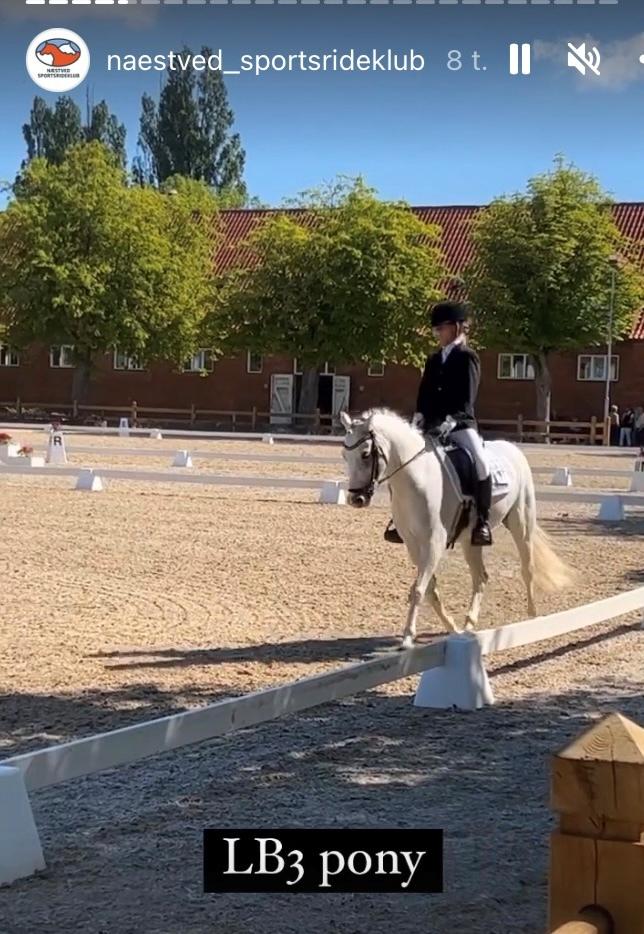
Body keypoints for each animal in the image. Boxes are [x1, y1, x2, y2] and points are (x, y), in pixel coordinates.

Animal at [340, 408, 573, 649]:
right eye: (345, 456)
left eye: (365, 454)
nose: (355, 499)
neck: (417, 478)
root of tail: (513, 448)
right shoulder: (413, 544)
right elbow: (429, 589)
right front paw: (452, 628)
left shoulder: (434, 542)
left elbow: (419, 589)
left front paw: (407, 638)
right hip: (471, 540)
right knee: (481, 577)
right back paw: (469, 625)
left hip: (521, 524)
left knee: (527, 568)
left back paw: (532, 616)